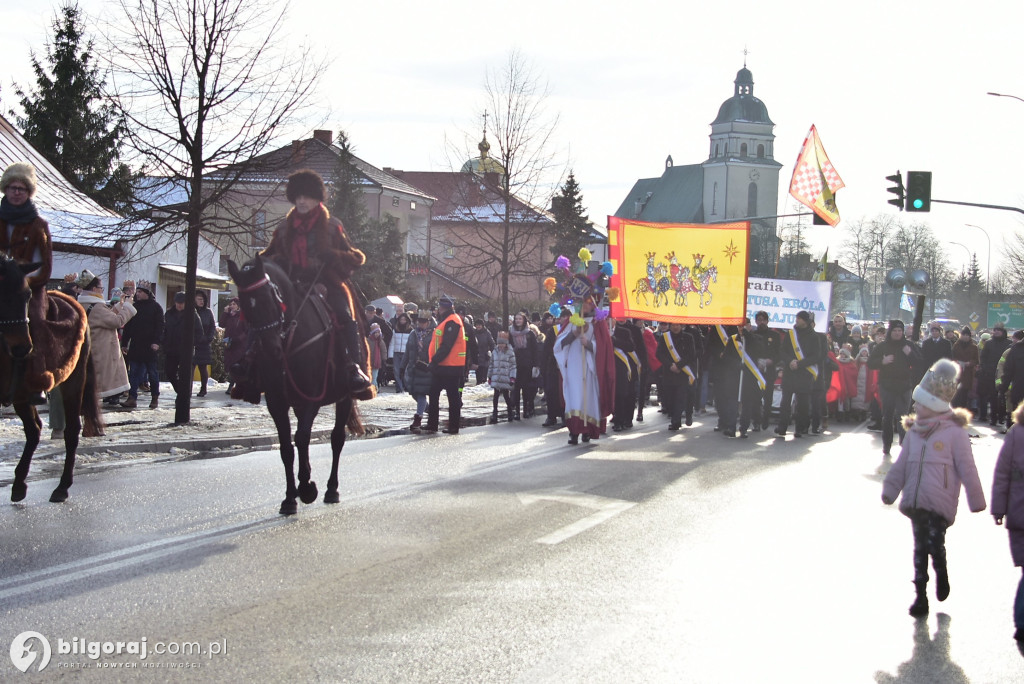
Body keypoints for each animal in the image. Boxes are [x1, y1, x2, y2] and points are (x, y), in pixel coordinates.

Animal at [0, 253, 100, 499]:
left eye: (27, 295)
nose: (22, 348)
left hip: (73, 381)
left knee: (71, 430)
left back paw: (62, 487)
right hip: (22, 394)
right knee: (34, 429)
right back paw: (19, 484)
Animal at [229, 254, 368, 511]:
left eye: (268, 298)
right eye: (243, 305)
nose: (271, 348)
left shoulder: (312, 396)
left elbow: (302, 438)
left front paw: (306, 488)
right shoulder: (277, 402)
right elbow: (287, 447)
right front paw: (289, 497)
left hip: (344, 397)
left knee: (337, 439)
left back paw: (331, 489)